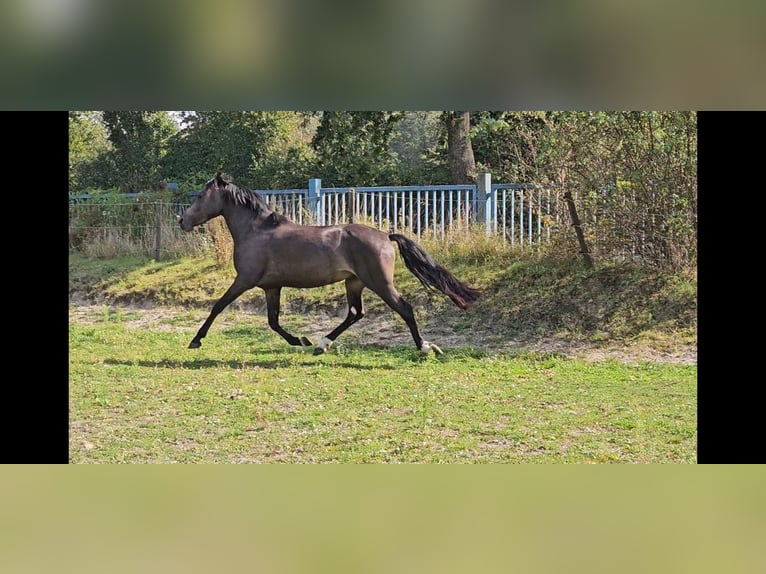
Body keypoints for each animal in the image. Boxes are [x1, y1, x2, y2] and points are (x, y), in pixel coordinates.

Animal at [179, 173, 480, 358]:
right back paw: (322, 344)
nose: (182, 221)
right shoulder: (271, 287)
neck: (255, 230)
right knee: (355, 313)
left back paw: (425, 348)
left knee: (404, 308)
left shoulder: (244, 280)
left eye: (200, 196)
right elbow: (273, 321)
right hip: (354, 282)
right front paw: (301, 341)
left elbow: (218, 306)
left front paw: (196, 340)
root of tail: (386, 236)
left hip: (379, 282)